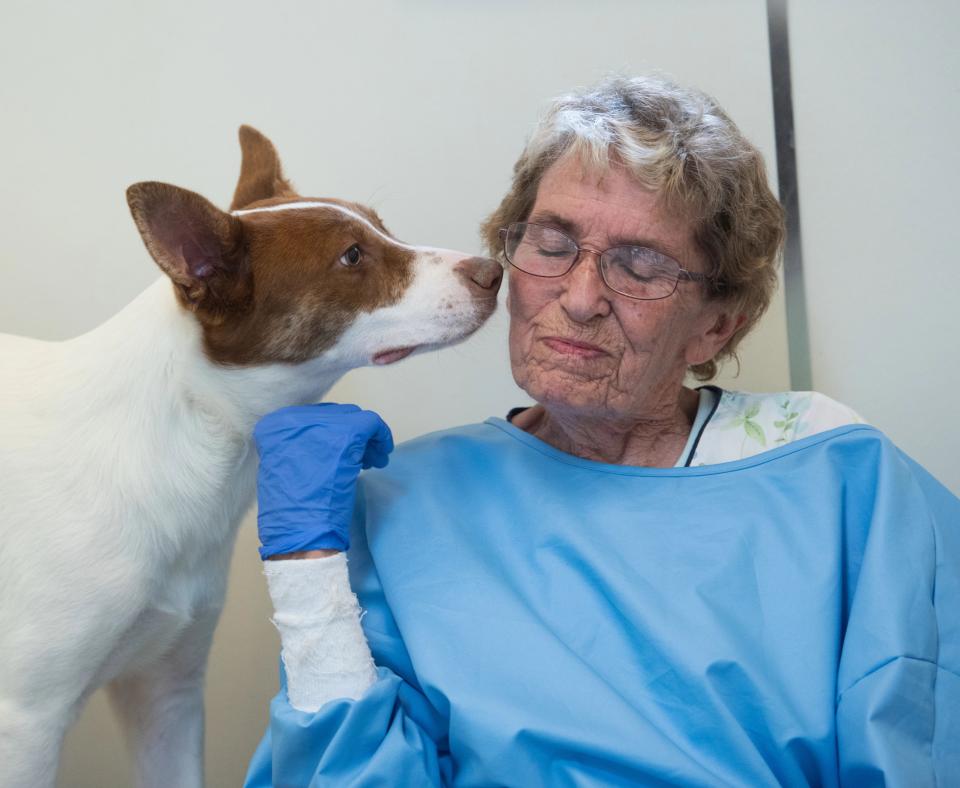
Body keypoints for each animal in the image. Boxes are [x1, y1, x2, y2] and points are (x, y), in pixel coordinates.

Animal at [0, 126, 498, 784]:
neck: (180, 437)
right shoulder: (26, 722)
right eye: (352, 256)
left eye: (382, 226)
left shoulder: (168, 689)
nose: (494, 271)